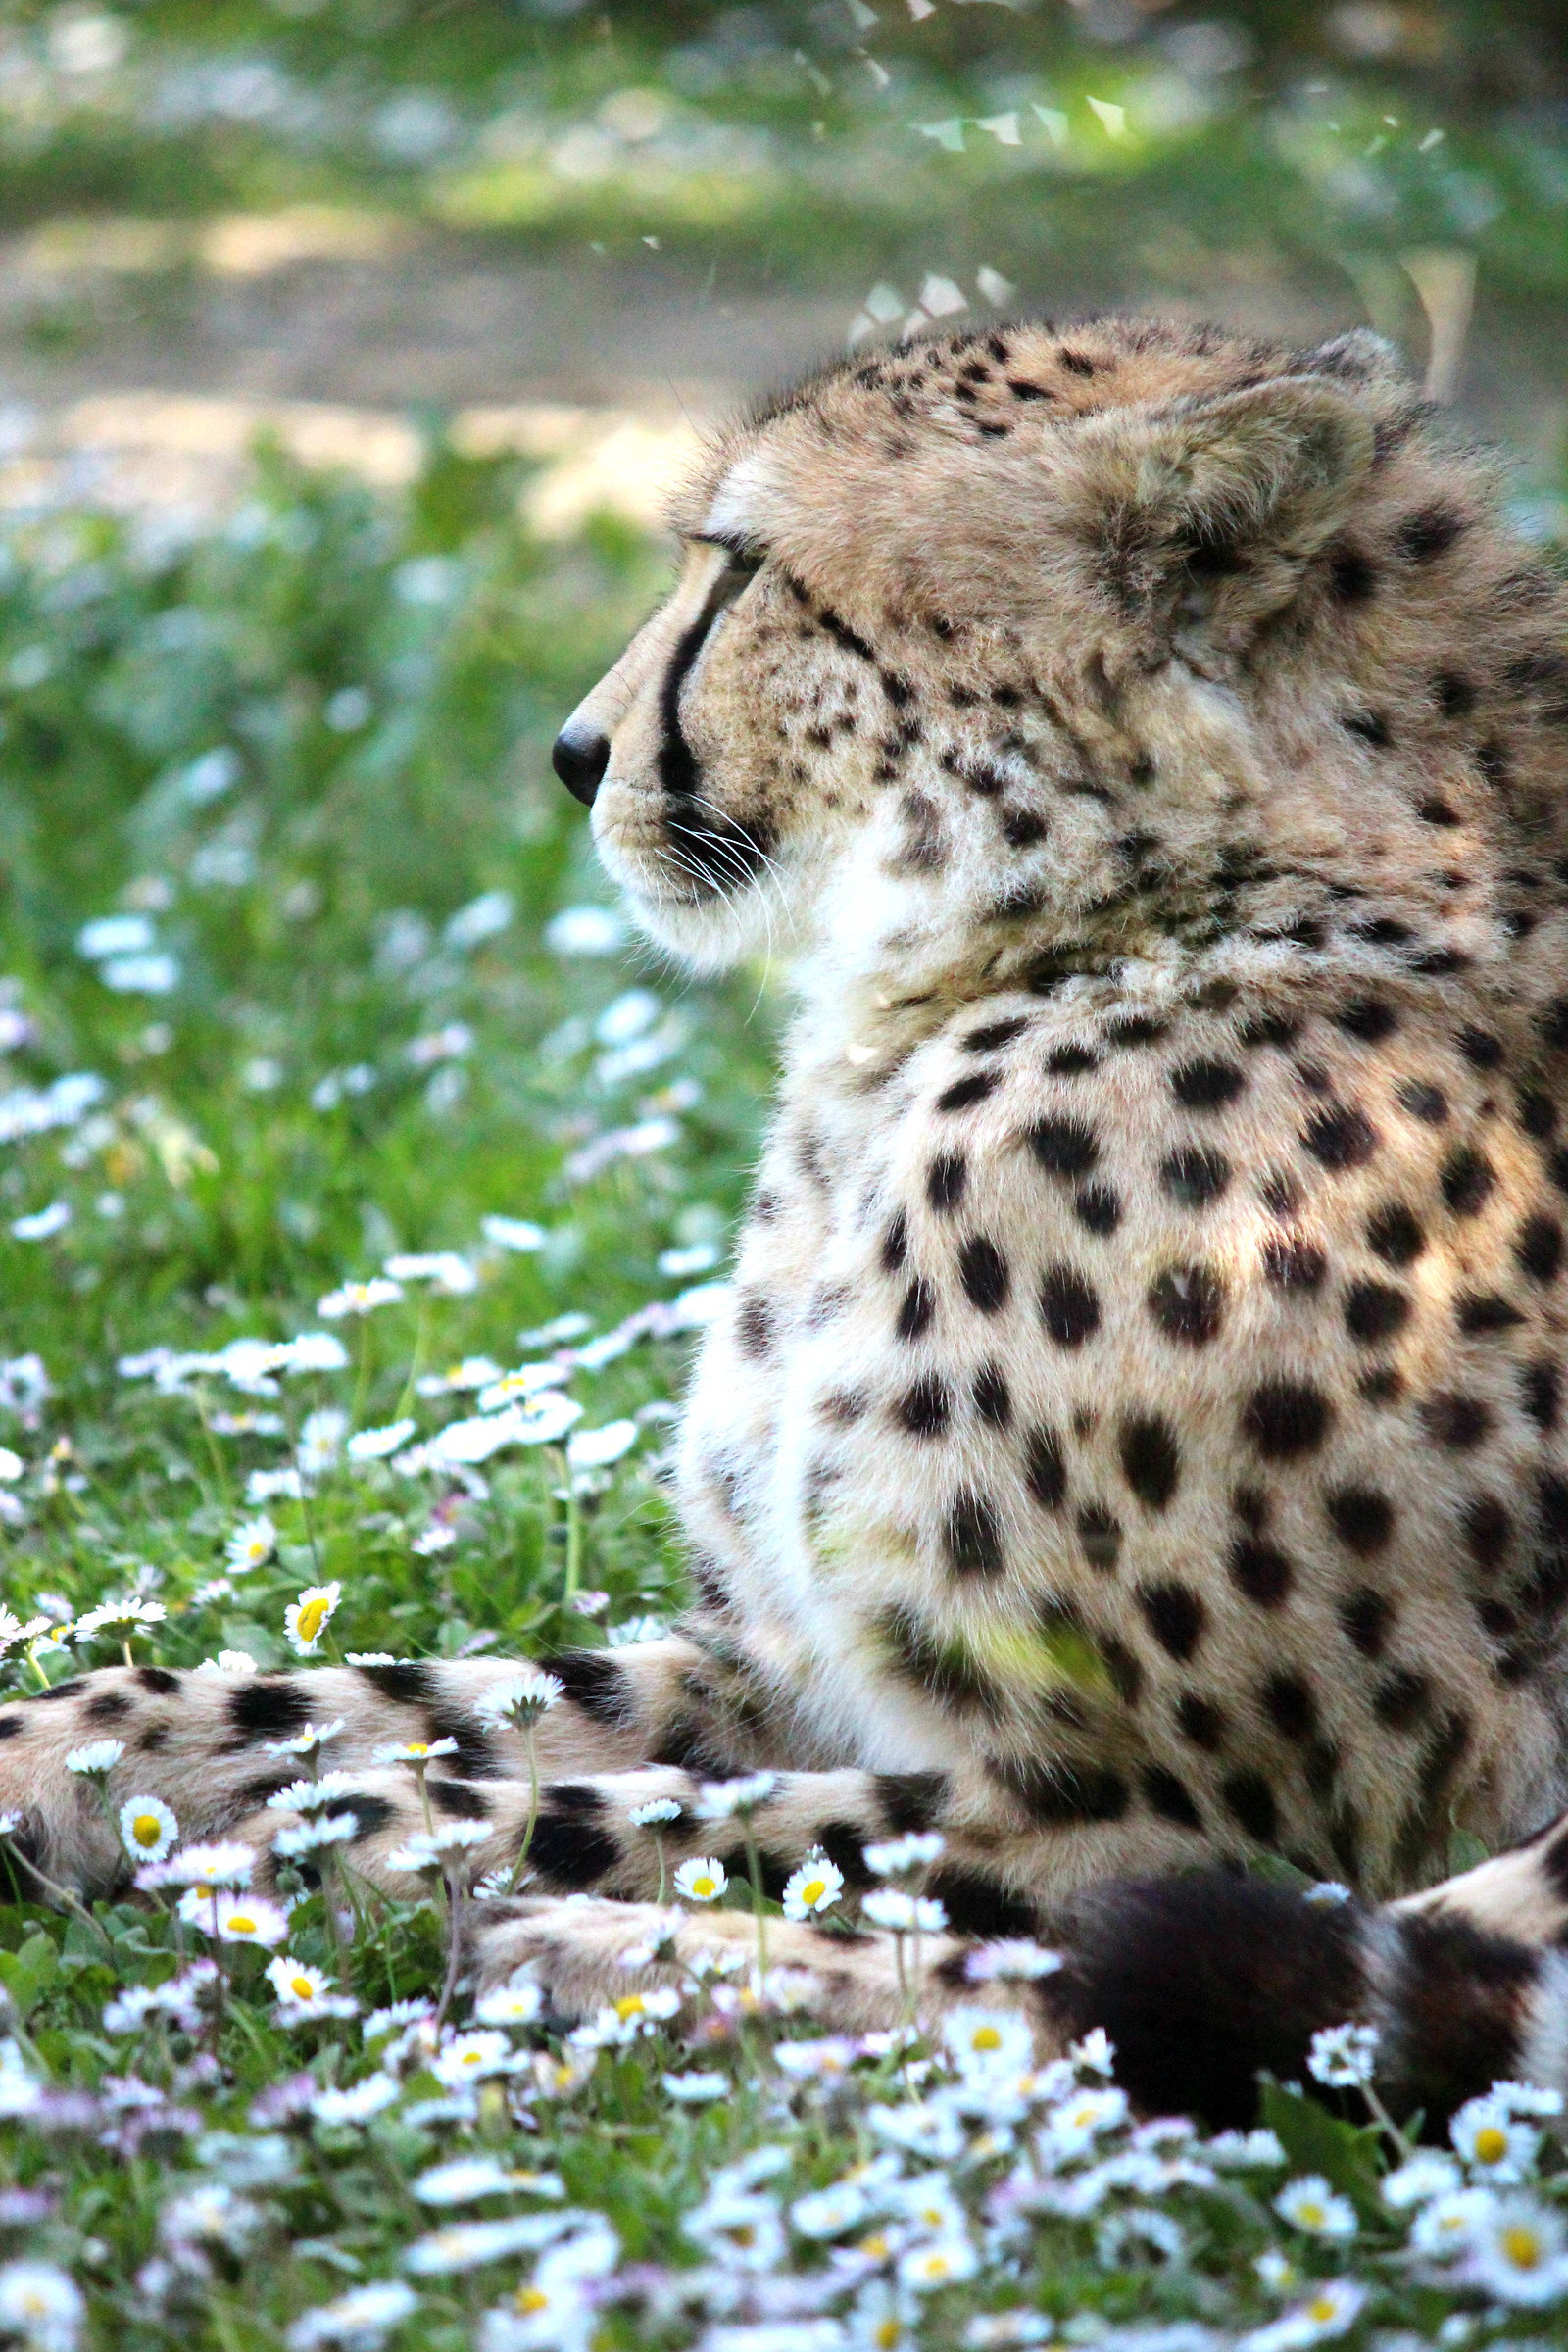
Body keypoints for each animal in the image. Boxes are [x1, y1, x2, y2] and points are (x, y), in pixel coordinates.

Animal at [9, 313, 1568, 2128]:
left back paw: (593, 1965)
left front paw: (334, 1846)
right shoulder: (776, 1659)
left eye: (746, 569)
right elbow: (393, 1695)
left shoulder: (1226, 1807)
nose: (574, 754)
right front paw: (62, 1756)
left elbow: (672, 1823)